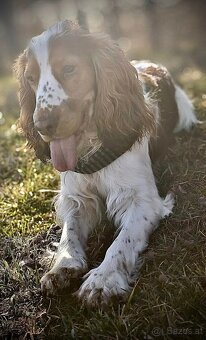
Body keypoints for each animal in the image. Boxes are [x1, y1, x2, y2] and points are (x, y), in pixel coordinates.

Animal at [14, 20, 198, 306]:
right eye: (31, 78)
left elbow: (122, 242)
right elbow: (69, 234)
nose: (42, 126)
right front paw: (63, 266)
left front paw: (103, 280)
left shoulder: (141, 200)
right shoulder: (76, 197)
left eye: (69, 68)